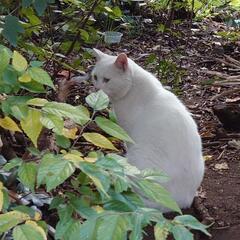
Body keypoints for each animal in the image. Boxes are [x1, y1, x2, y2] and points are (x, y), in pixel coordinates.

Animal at [92, 48, 204, 210]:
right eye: (95, 77)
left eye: (107, 80)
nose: (96, 89)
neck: (133, 88)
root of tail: (180, 202)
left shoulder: (128, 134)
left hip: (139, 154)